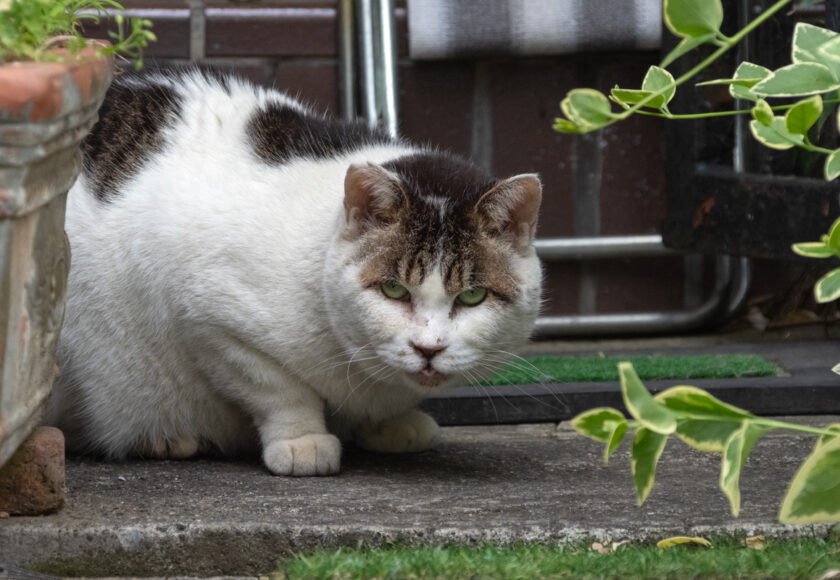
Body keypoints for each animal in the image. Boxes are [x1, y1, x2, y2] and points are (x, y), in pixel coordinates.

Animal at [44, 68, 544, 476]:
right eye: (393, 290)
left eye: (472, 297)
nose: (429, 349)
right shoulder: (209, 316)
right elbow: (279, 388)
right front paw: (303, 441)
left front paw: (391, 423)